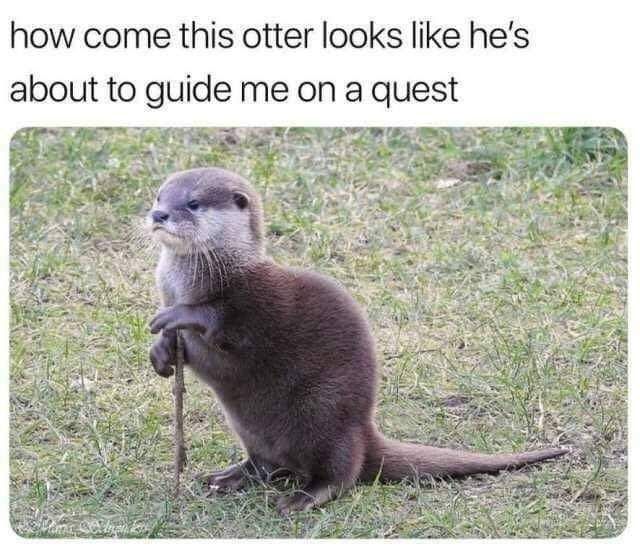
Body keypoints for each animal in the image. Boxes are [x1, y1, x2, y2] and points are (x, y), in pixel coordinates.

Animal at [146, 167, 567, 514]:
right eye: (159, 196)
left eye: (193, 203)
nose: (158, 214)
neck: (197, 278)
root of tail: (364, 432)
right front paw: (161, 352)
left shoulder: (254, 301)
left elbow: (224, 323)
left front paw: (180, 316)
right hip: (252, 429)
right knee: (265, 463)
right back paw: (227, 477)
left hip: (324, 411)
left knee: (340, 473)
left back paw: (303, 498)